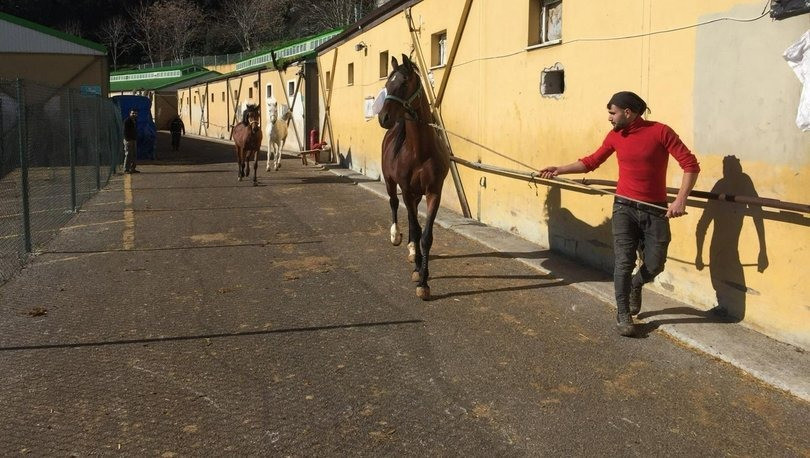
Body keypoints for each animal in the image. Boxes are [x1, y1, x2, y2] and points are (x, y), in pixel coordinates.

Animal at [378, 53, 448, 300]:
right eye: (387, 84)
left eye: (403, 83)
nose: (383, 117)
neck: (419, 151)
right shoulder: (406, 190)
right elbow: (417, 229)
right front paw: (418, 271)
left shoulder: (433, 192)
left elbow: (425, 236)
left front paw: (424, 281)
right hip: (392, 183)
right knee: (394, 204)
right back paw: (397, 236)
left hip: (416, 194)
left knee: (411, 216)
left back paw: (410, 249)